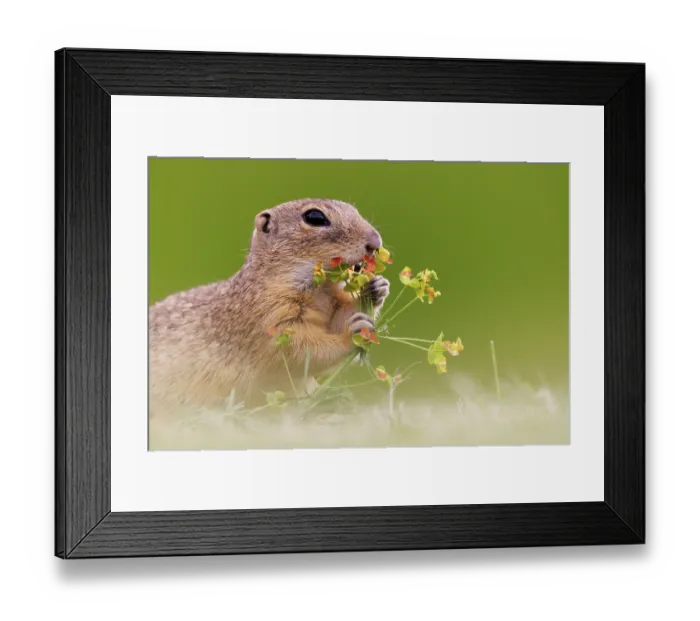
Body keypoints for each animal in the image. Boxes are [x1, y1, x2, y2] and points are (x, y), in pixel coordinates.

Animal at [149, 199, 389, 418]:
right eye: (314, 217)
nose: (376, 242)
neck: (319, 289)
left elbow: (336, 321)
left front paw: (375, 288)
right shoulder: (270, 315)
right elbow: (300, 348)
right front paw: (351, 334)